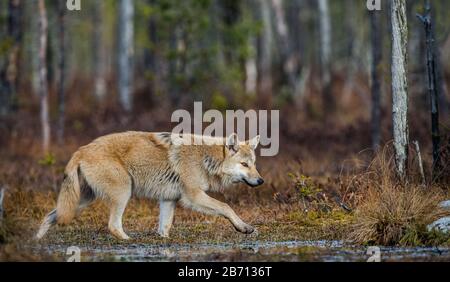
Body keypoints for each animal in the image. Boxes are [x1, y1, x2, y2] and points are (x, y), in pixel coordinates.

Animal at [37, 132, 264, 240]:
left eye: (254, 164)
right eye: (244, 165)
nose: (261, 181)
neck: (206, 158)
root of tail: (81, 150)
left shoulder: (169, 199)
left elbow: (164, 227)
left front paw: (163, 240)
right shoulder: (193, 196)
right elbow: (227, 207)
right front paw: (244, 228)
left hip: (81, 201)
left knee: (49, 216)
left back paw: (35, 242)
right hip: (123, 192)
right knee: (113, 225)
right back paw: (129, 240)